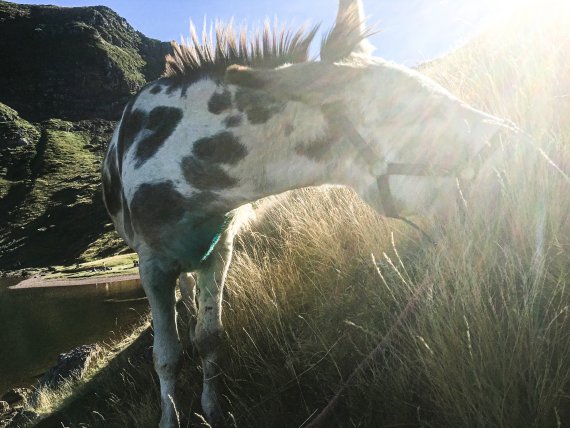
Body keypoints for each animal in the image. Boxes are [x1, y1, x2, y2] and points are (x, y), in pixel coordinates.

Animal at [101, 0, 520, 424]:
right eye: (405, 111)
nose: (520, 156)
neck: (184, 170)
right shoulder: (152, 266)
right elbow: (165, 357)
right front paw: (170, 418)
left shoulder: (220, 251)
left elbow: (209, 338)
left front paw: (211, 410)